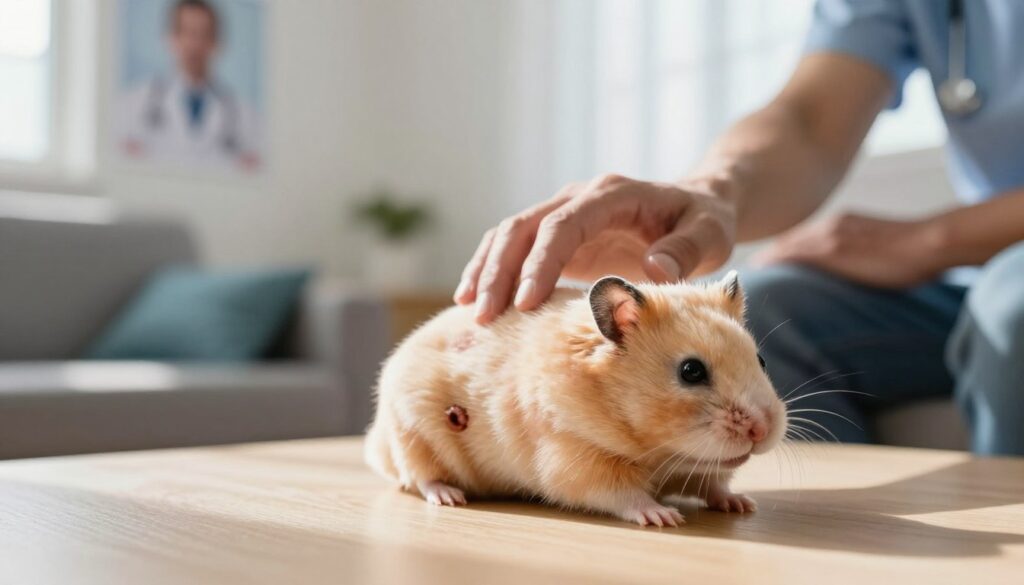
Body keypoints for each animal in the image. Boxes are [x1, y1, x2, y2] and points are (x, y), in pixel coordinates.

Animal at [364, 272, 787, 527]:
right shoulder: (575, 455)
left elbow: (715, 485)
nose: (762, 429)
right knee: (420, 476)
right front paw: (664, 517)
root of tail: (375, 439)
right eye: (691, 371)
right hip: (413, 436)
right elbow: (623, 494)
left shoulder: (700, 468)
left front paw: (741, 504)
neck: (660, 455)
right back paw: (450, 497)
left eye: (761, 359)